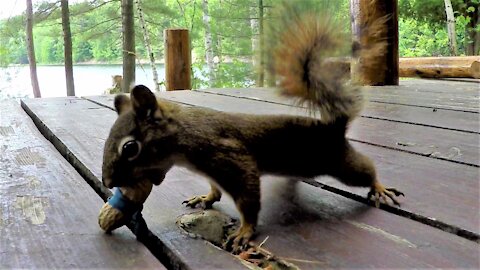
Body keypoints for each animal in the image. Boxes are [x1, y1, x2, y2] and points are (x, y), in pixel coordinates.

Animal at [101, 1, 404, 252]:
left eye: (130, 147)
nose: (108, 182)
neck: (183, 139)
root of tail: (334, 126)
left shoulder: (230, 157)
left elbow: (247, 198)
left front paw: (245, 230)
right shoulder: (213, 170)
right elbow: (215, 188)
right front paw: (205, 197)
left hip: (339, 161)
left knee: (364, 170)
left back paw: (380, 188)